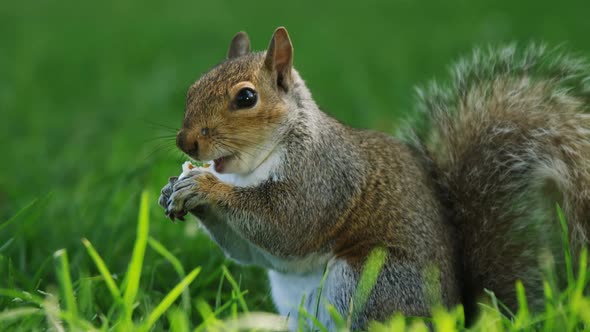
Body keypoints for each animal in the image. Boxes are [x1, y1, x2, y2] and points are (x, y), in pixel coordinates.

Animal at [157, 26, 590, 330]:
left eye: (246, 98)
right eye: (193, 88)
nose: (185, 142)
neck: (251, 169)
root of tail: (452, 315)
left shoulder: (324, 179)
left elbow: (286, 225)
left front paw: (204, 187)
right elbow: (251, 251)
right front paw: (173, 190)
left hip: (369, 283)